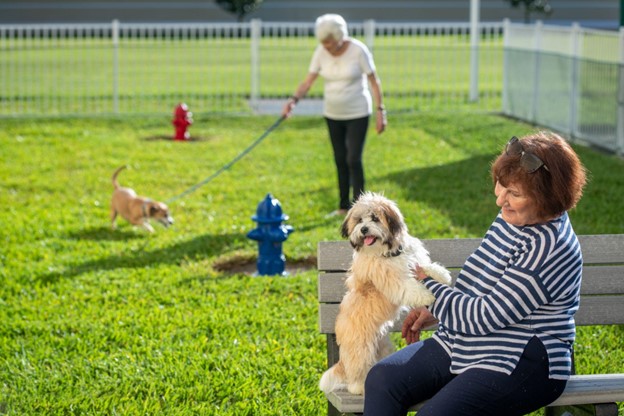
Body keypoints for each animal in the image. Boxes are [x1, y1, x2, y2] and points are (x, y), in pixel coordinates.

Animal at [320, 192, 450, 394]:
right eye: (359, 221)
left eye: (374, 218)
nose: (364, 229)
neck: (388, 252)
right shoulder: (392, 280)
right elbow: (409, 287)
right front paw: (427, 295)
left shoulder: (414, 261)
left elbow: (425, 267)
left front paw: (442, 274)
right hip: (360, 347)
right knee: (356, 370)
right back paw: (359, 387)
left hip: (382, 346)